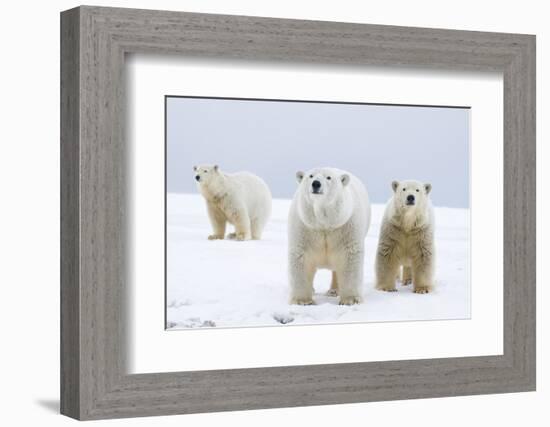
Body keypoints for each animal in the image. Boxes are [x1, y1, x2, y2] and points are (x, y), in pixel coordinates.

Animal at [286, 167, 374, 304]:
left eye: (328, 177)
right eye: (310, 176)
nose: (316, 184)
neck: (324, 224)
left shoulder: (345, 226)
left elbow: (349, 256)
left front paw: (350, 299)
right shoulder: (305, 226)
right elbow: (301, 256)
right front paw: (303, 301)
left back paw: (334, 291)